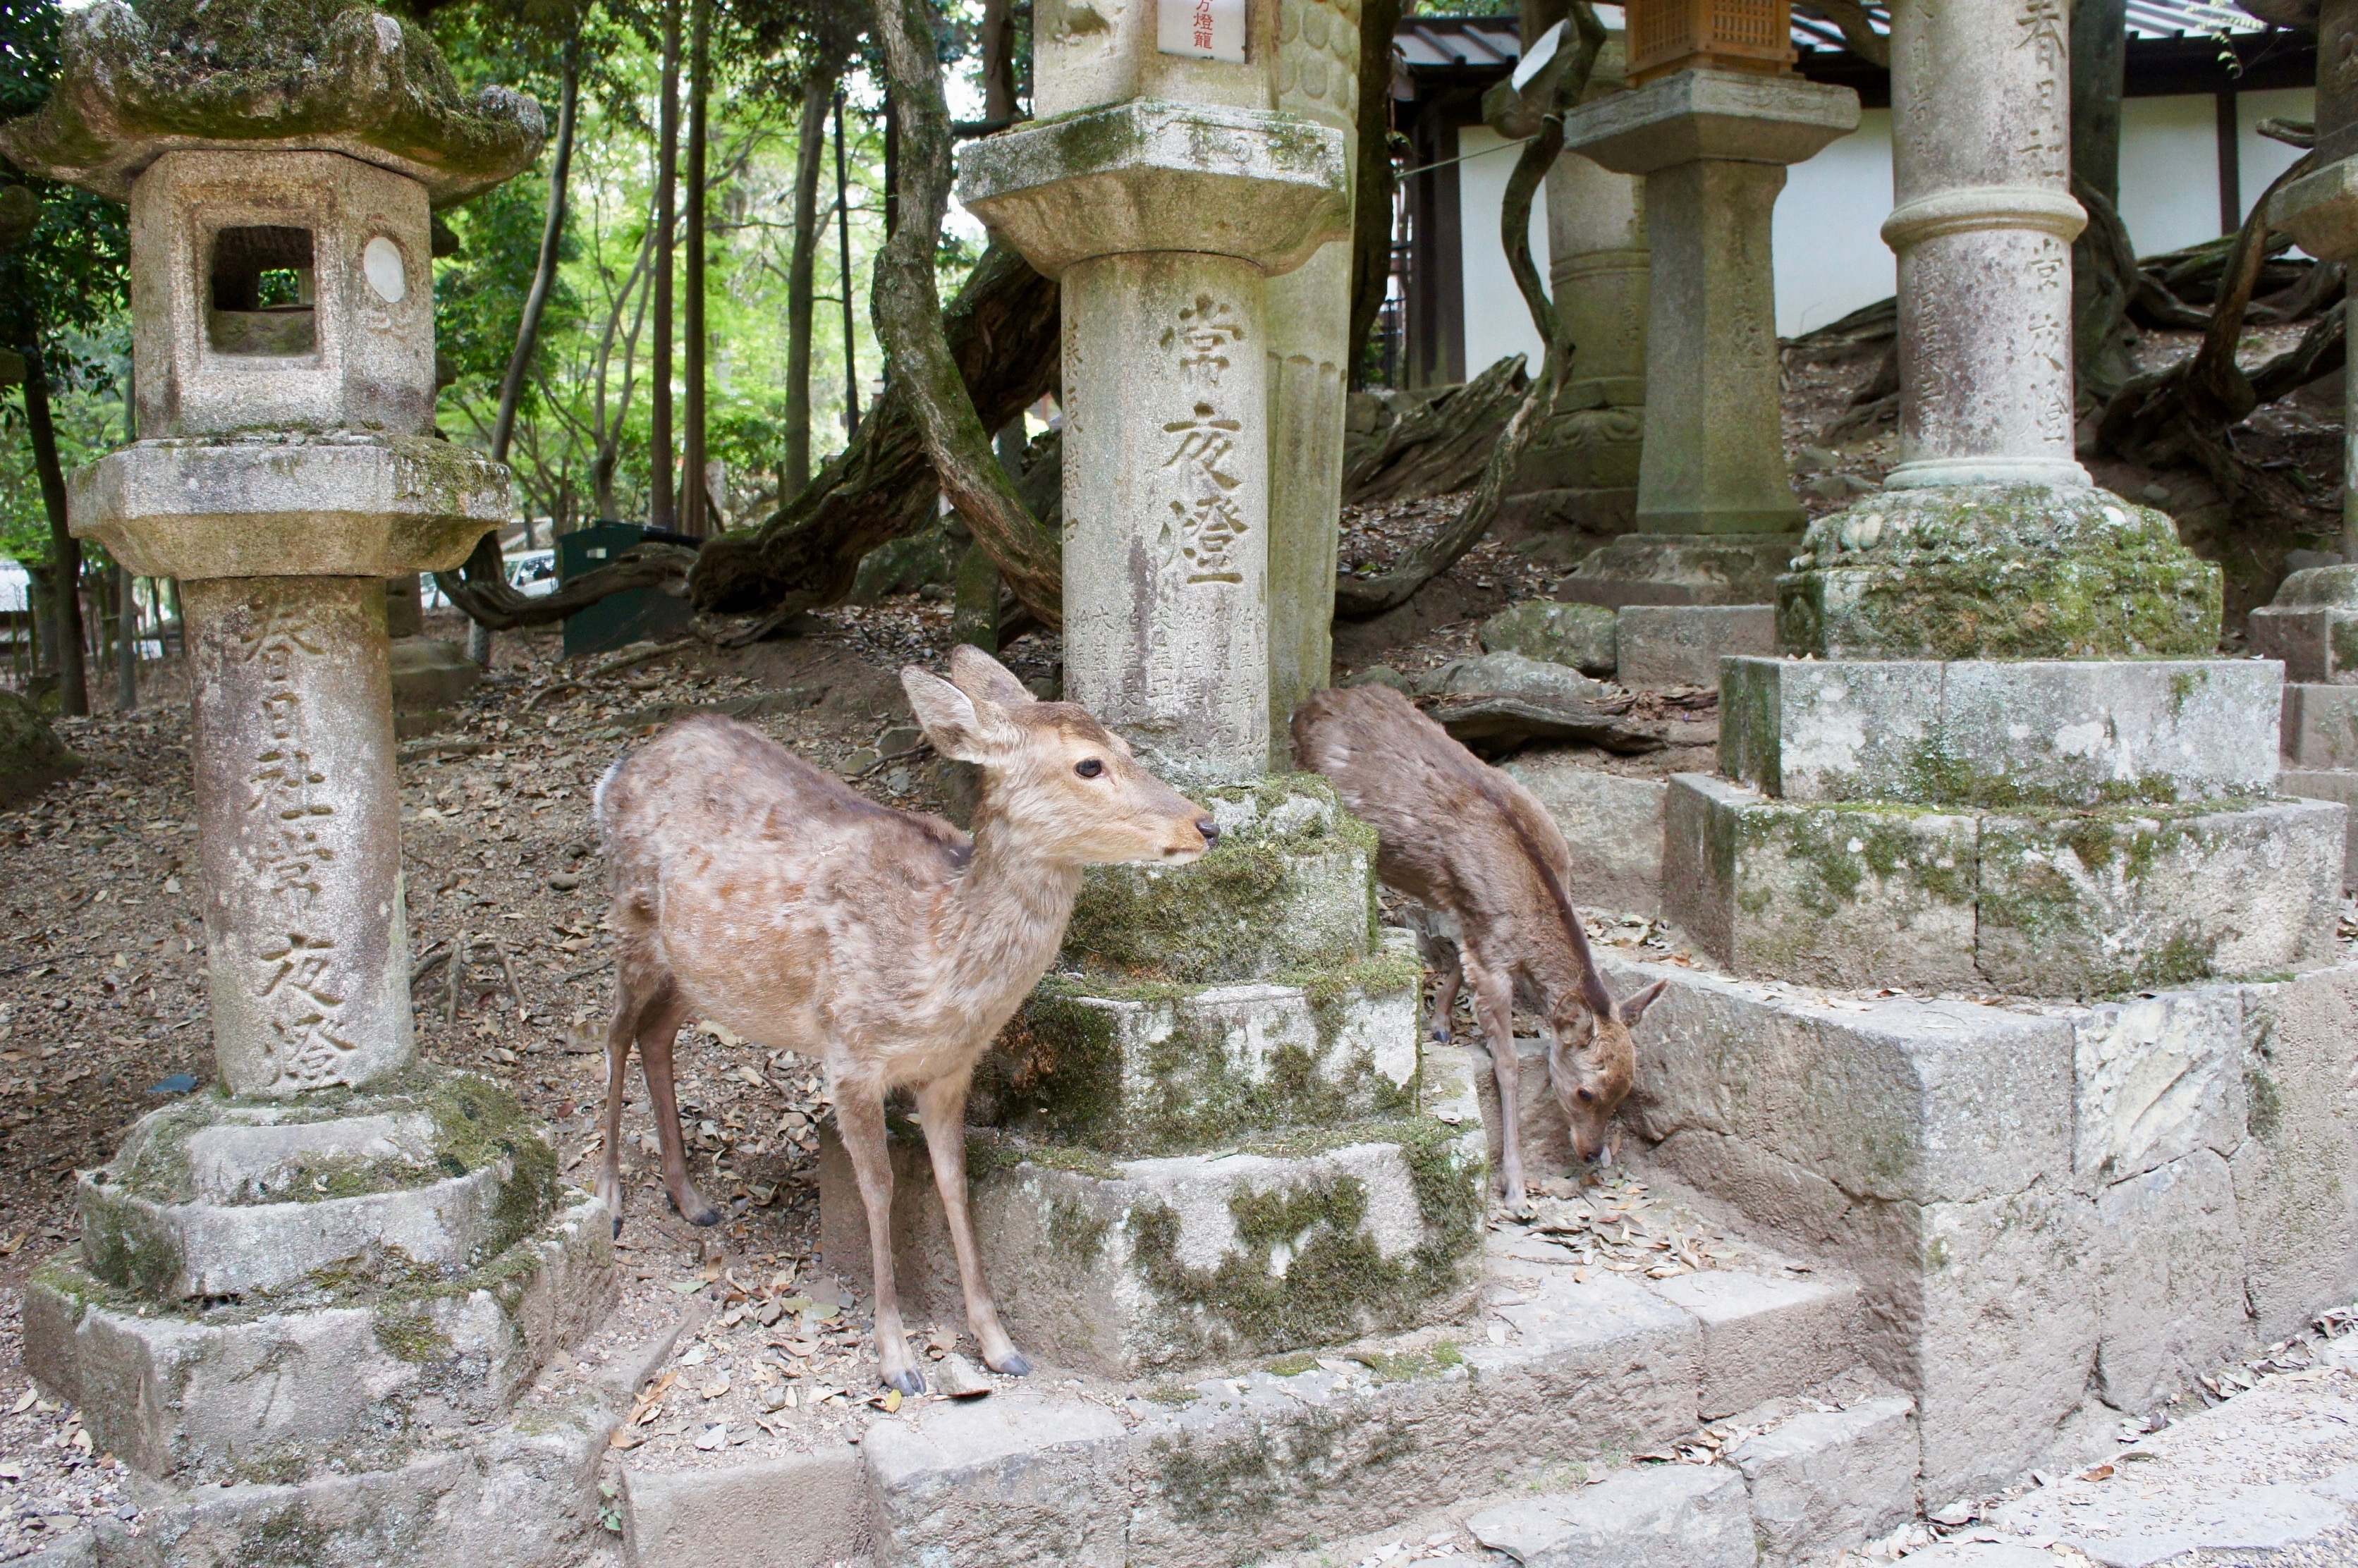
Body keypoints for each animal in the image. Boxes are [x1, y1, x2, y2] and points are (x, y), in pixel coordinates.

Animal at [592, 645, 1217, 1393]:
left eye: (1128, 746)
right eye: (1089, 765)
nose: (1206, 823)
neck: (936, 964)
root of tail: (619, 768)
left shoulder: (950, 1071)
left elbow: (955, 1183)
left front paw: (1000, 1345)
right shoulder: (849, 1052)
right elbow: (880, 1188)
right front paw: (897, 1359)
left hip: (698, 968)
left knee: (655, 1035)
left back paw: (691, 1199)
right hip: (630, 919)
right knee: (613, 1036)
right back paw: (610, 1202)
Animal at [1291, 683, 1666, 1215]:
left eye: (1626, 1091)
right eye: (1586, 1093)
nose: (1594, 1154)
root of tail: (1311, 701)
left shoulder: (1473, 925)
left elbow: (1456, 956)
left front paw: (1441, 1025)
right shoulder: (1492, 955)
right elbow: (1506, 1066)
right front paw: (1515, 1190)